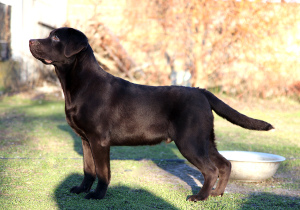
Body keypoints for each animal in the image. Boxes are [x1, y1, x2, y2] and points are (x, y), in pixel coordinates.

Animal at [28, 27, 274, 201]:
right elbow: (88, 170)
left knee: (211, 170)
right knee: (225, 164)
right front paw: (81, 189)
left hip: (190, 141)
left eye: (56, 38)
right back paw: (216, 194)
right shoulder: (85, 139)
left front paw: (97, 195)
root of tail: (201, 91)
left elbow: (103, 172)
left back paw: (200, 197)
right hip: (204, 139)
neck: (78, 84)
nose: (30, 41)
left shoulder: (99, 140)